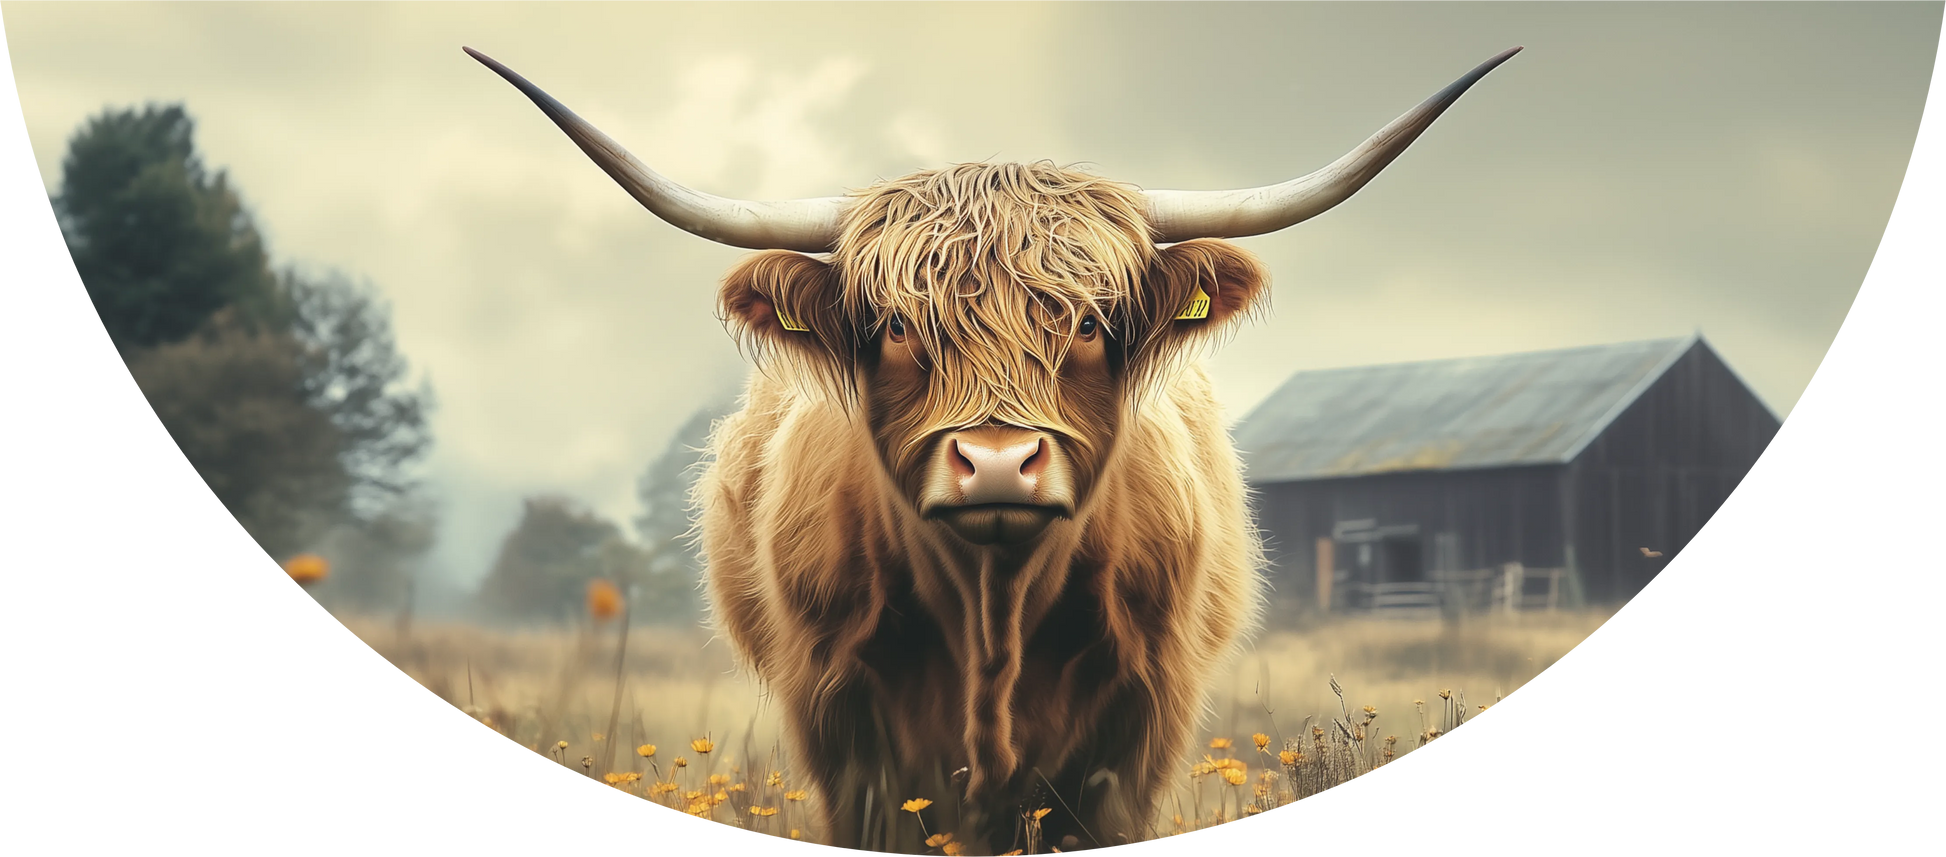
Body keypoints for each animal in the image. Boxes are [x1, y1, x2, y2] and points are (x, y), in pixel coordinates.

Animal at [467, 45, 1519, 854]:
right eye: (896, 325)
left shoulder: (1138, 729)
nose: (1001, 463)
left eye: (1090, 322)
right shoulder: (844, 727)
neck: (994, 615)